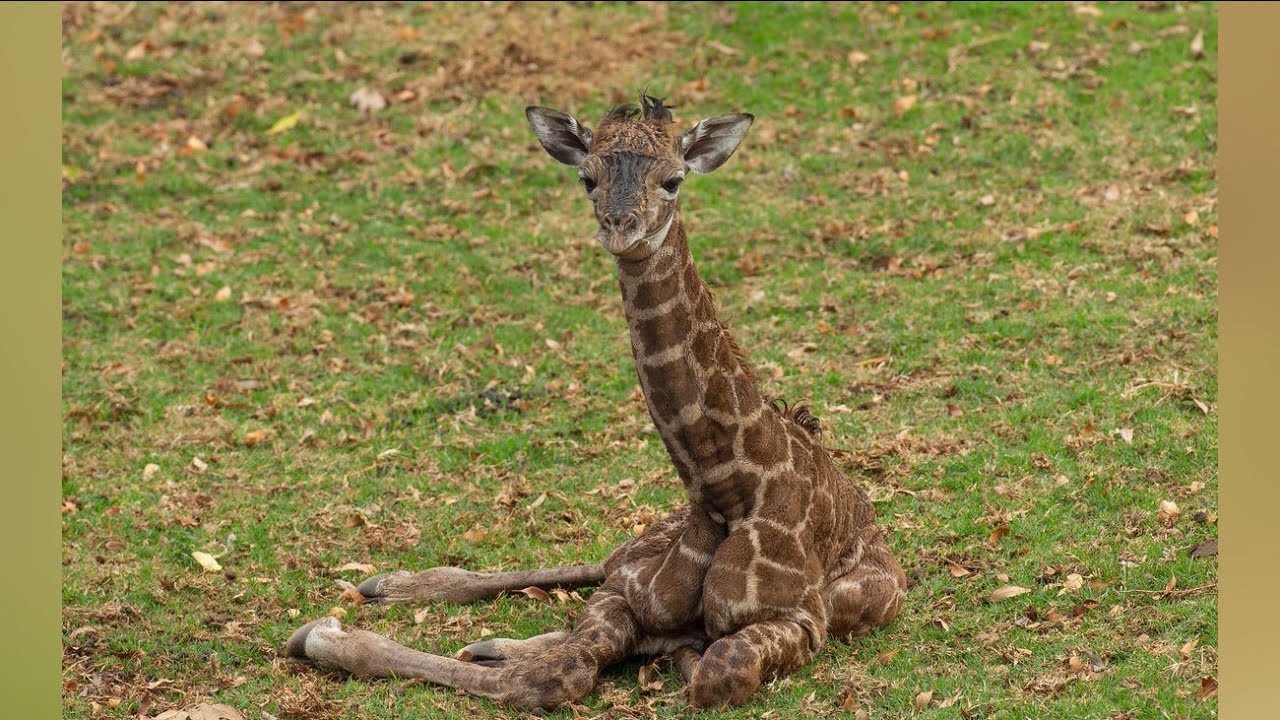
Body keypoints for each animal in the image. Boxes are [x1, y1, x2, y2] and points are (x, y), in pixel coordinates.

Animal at [290, 94, 911, 707]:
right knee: (597, 563)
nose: (620, 228)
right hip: (643, 541)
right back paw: (394, 588)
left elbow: (712, 672)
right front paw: (324, 632)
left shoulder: (802, 619)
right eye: (587, 178)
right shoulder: (628, 595)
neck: (726, 490)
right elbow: (558, 670)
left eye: (673, 180)